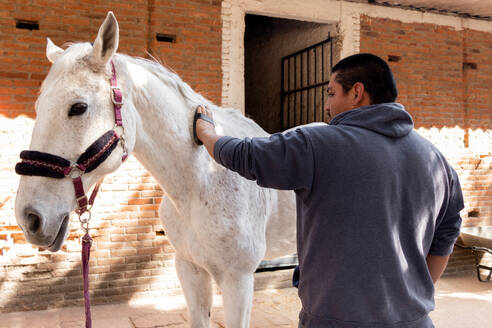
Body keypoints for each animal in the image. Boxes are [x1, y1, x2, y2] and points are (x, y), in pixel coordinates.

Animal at [13, 11, 294, 326]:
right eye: (38, 107)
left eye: (78, 107)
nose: (29, 218)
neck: (203, 180)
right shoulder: (190, 269)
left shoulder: (238, 281)